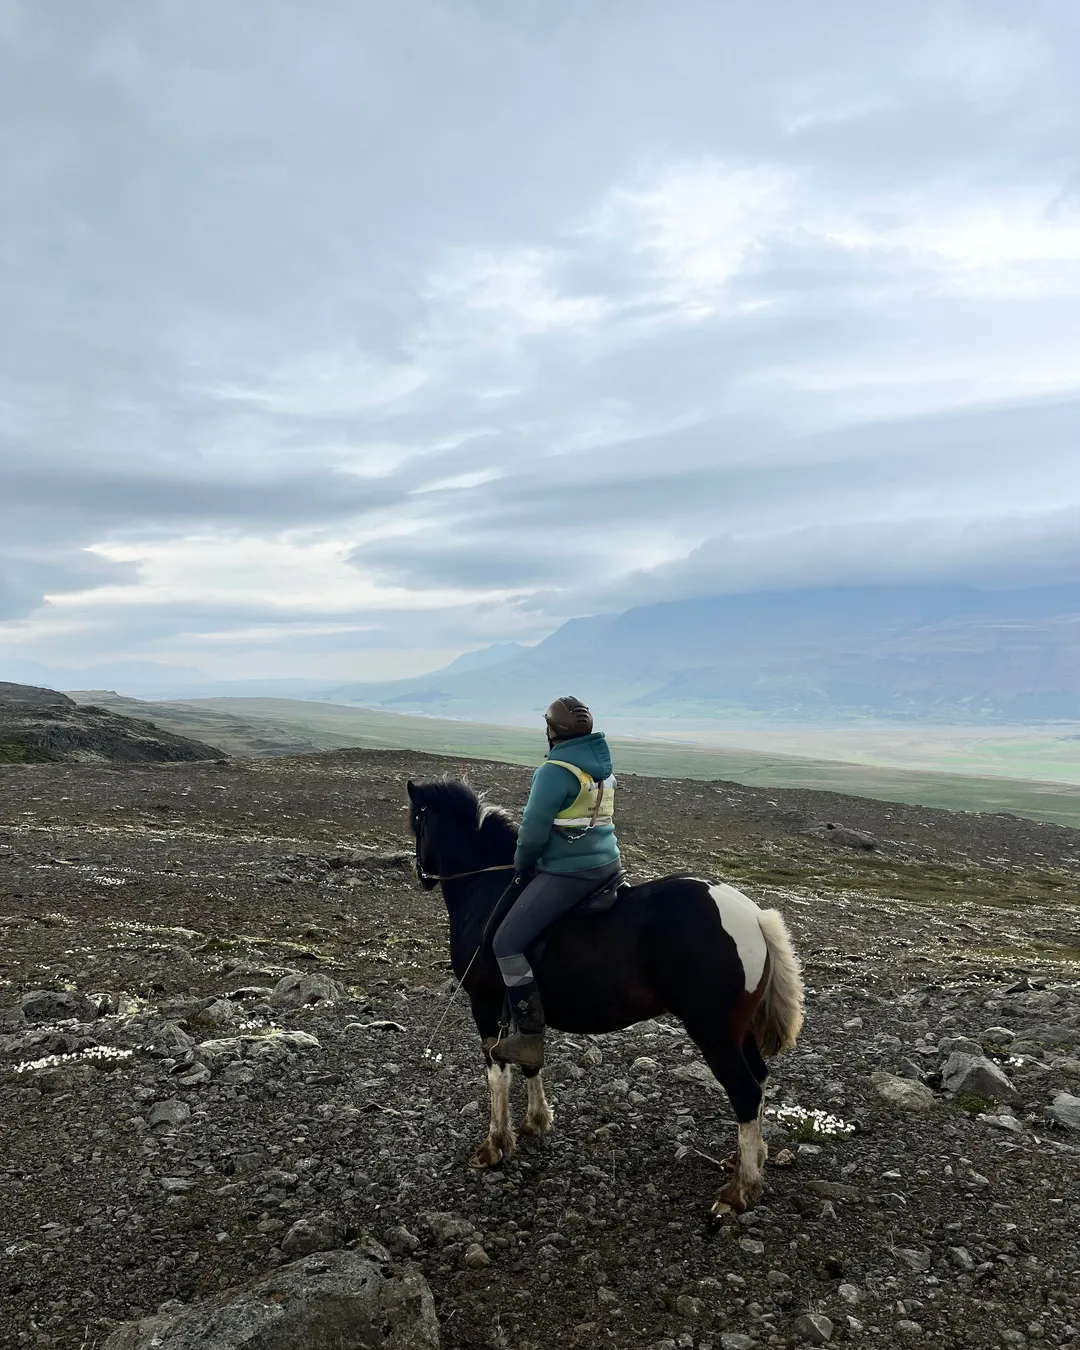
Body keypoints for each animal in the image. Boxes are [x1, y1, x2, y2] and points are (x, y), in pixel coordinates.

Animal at [410, 772, 804, 1215]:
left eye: (416, 821)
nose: (421, 875)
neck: (488, 887)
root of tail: (752, 916)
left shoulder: (486, 1003)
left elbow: (497, 1071)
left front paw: (494, 1145)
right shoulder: (519, 1010)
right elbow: (530, 1060)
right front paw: (535, 1121)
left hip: (714, 1032)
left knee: (745, 1091)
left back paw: (741, 1190)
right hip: (740, 1031)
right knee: (759, 1081)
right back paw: (746, 1160)